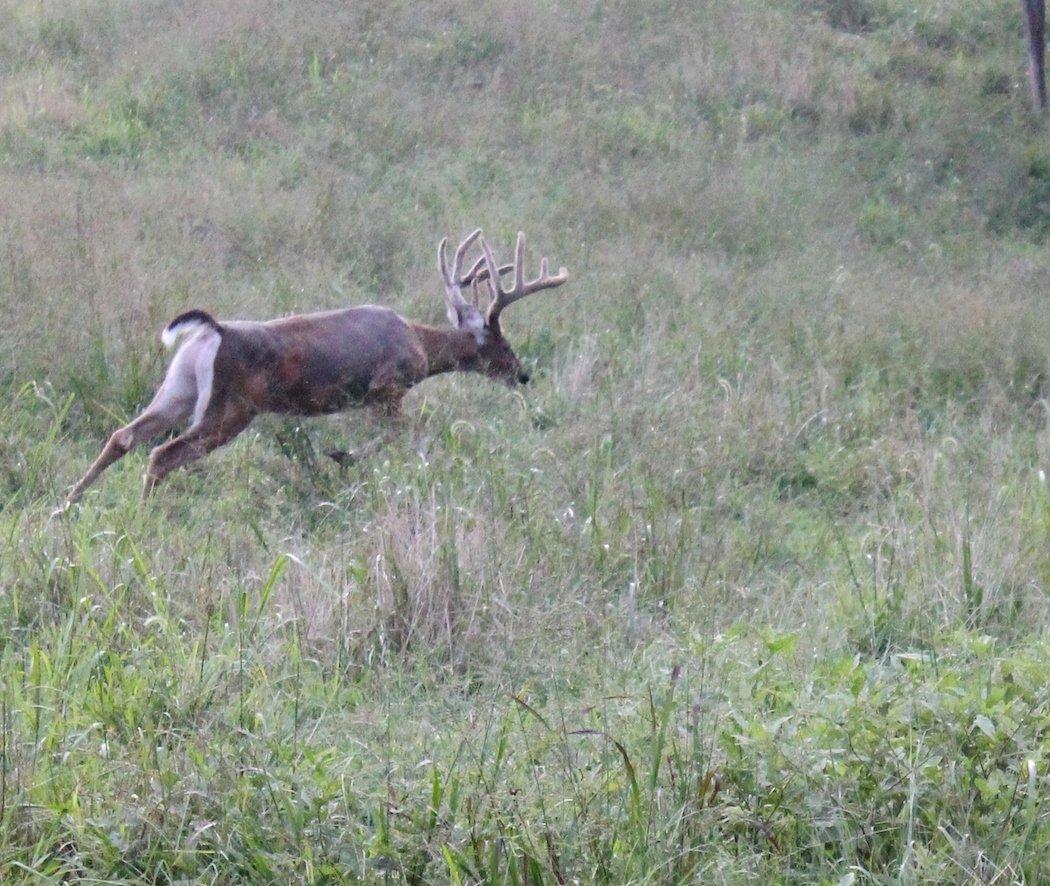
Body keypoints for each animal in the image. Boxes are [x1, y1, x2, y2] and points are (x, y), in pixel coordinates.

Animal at [61, 229, 571, 505]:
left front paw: (341, 456)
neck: (420, 345)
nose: (523, 373)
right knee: (162, 454)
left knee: (124, 435)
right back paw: (143, 512)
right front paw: (342, 455)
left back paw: (68, 503)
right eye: (500, 341)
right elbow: (409, 434)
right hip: (229, 406)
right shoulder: (386, 386)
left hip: (178, 389)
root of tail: (213, 331)